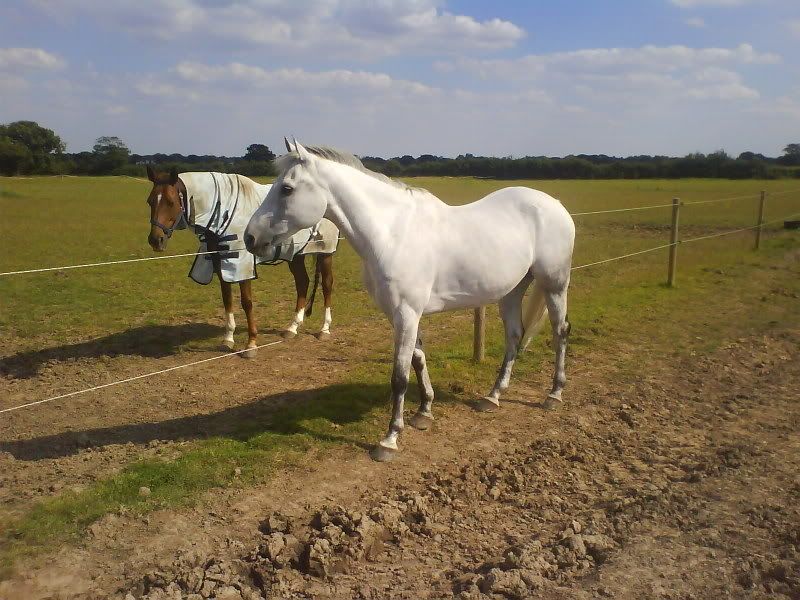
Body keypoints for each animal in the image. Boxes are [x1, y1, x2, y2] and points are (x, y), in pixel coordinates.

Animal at [145, 165, 339, 356]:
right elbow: (227, 300)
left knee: (327, 285)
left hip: (325, 253)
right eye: (150, 201)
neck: (225, 212)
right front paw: (228, 339)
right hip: (295, 254)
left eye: (171, 202)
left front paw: (251, 343)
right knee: (302, 282)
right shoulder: (221, 264)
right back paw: (292, 328)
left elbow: (247, 302)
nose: (155, 240)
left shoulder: (242, 266)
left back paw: (324, 329)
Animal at [244, 140, 575, 462]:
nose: (249, 238)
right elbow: (418, 360)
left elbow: (399, 376)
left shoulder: (407, 313)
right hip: (512, 290)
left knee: (560, 331)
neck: (392, 235)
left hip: (554, 284)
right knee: (514, 336)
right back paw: (493, 397)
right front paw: (424, 413)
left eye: (287, 188)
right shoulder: (400, 315)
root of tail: (556, 205)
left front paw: (390, 439)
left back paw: (554, 394)